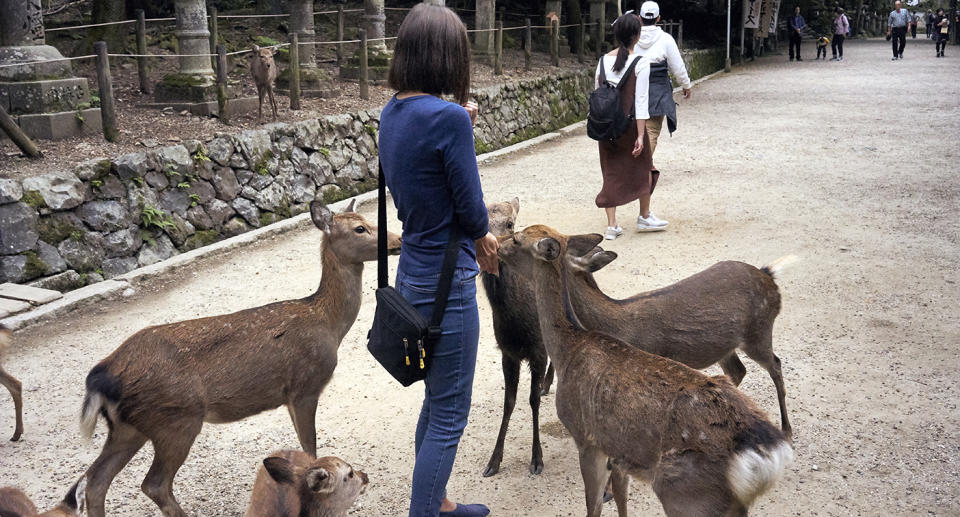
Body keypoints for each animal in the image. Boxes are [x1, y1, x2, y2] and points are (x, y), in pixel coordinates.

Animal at [76, 199, 402, 516]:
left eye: (367, 221)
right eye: (360, 228)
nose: (398, 239)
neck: (328, 324)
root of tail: (102, 375)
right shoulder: (304, 386)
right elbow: (310, 447)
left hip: (129, 426)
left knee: (94, 481)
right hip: (177, 418)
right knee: (153, 484)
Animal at [564, 248, 796, 438]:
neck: (617, 326)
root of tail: (768, 275)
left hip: (759, 331)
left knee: (775, 365)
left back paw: (786, 429)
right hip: (725, 347)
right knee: (737, 371)